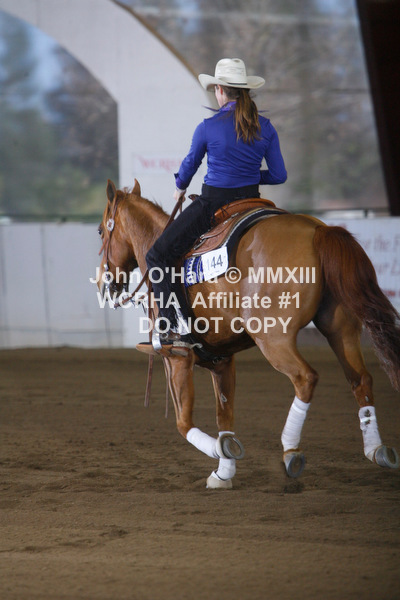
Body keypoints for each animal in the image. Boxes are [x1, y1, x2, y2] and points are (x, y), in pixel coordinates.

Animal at [97, 178, 400, 489]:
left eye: (100, 231)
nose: (102, 283)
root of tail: (318, 230)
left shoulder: (176, 358)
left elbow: (184, 423)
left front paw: (220, 451)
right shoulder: (221, 361)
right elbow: (224, 416)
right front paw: (223, 473)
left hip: (274, 338)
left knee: (306, 378)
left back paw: (291, 451)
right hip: (341, 329)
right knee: (360, 379)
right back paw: (376, 450)